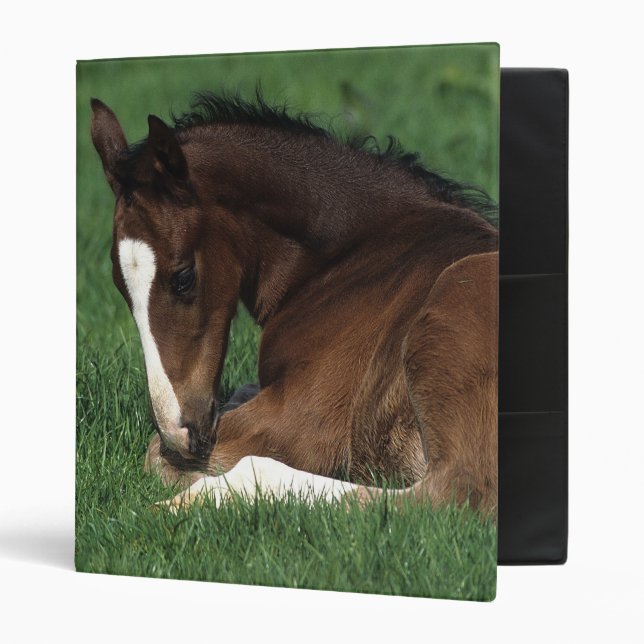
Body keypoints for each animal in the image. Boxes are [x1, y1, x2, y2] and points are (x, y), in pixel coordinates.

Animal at [90, 93, 499, 514]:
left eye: (183, 277)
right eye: (120, 286)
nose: (180, 432)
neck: (351, 257)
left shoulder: (306, 418)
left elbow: (154, 455)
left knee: (452, 492)